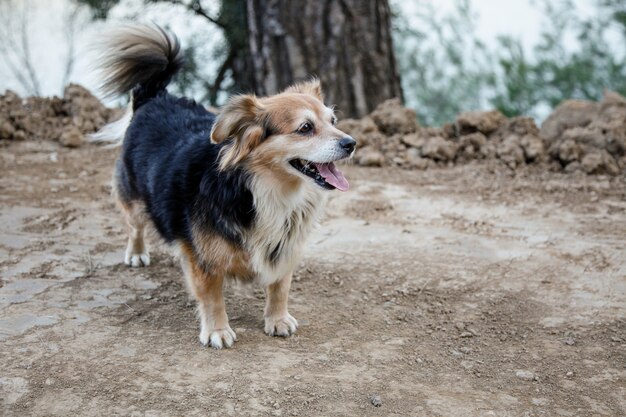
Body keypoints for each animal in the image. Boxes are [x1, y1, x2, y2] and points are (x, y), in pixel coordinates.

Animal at [93, 26, 356, 348]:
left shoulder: (286, 245)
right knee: (135, 225)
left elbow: (279, 286)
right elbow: (212, 296)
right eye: (305, 128)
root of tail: (155, 97)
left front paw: (278, 319)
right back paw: (137, 253)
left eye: (333, 121)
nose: (352, 143)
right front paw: (217, 330)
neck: (260, 189)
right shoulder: (202, 258)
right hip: (134, 197)